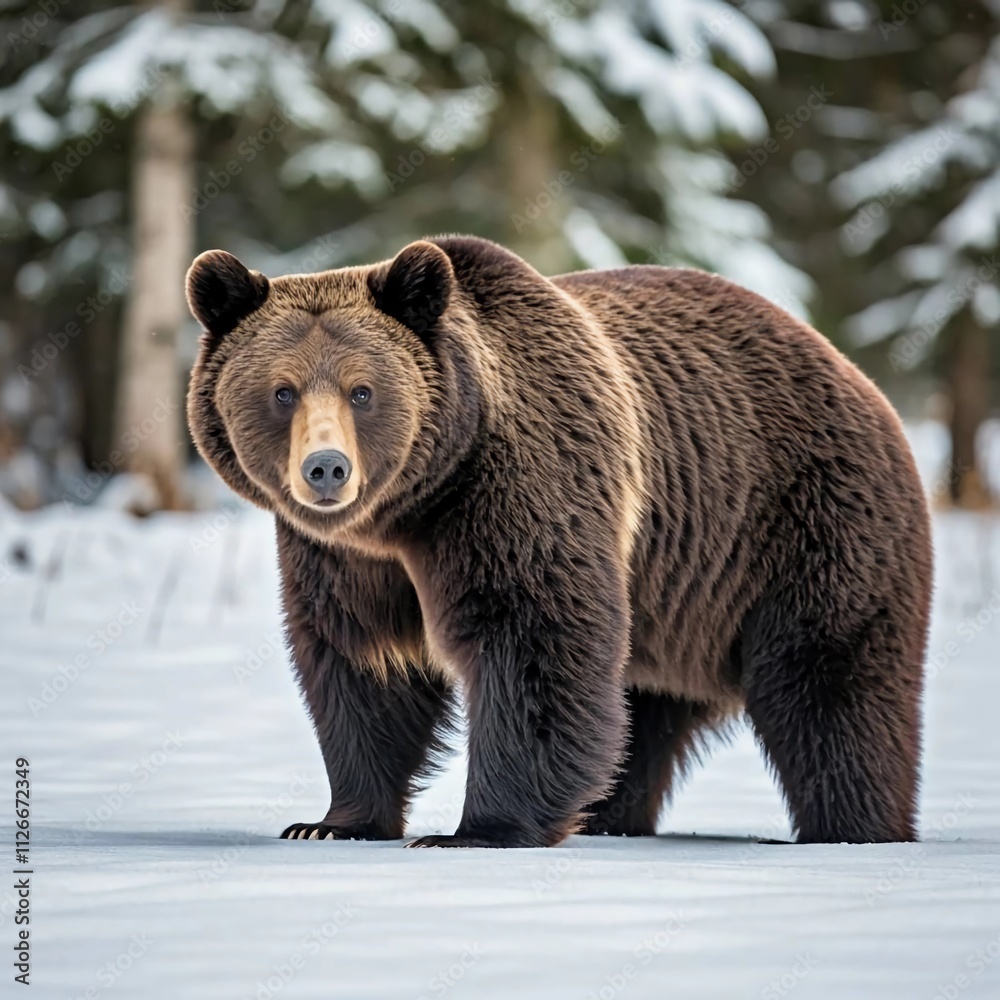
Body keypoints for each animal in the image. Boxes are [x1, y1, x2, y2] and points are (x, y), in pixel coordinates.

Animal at [185, 235, 932, 848]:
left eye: (362, 390)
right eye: (282, 391)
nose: (327, 469)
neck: (410, 510)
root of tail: (853, 373)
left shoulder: (519, 487)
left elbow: (532, 635)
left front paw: (479, 830)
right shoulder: (346, 560)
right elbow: (361, 661)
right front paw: (332, 822)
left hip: (801, 523)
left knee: (829, 684)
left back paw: (852, 826)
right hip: (674, 597)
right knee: (641, 709)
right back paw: (610, 815)